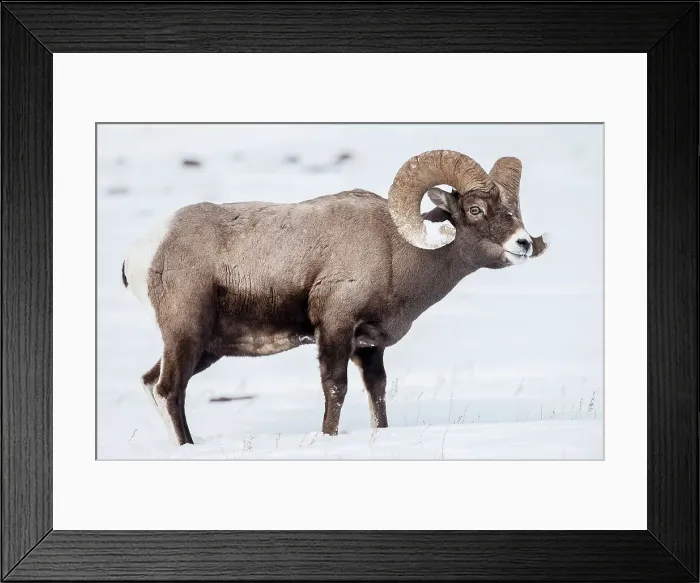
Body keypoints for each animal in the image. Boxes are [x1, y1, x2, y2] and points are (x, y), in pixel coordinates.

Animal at [122, 149, 549, 445]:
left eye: (513, 210)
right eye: (475, 209)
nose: (523, 244)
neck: (396, 251)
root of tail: (144, 253)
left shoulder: (369, 346)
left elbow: (377, 391)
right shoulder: (335, 328)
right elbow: (335, 389)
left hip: (206, 347)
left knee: (151, 383)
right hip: (187, 336)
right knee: (169, 390)